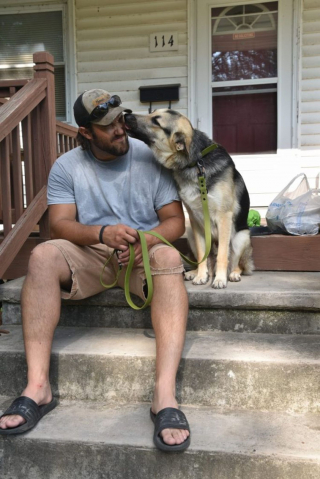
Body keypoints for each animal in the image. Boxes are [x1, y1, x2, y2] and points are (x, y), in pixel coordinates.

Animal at [124, 109, 254, 288]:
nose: (126, 114)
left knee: (237, 263)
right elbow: (201, 254)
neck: (196, 163)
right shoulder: (195, 221)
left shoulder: (224, 217)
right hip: (191, 234)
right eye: (151, 112)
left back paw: (232, 274)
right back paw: (196, 272)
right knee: (208, 260)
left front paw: (220, 279)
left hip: (240, 238)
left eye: (156, 121)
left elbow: (222, 255)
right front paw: (201, 275)